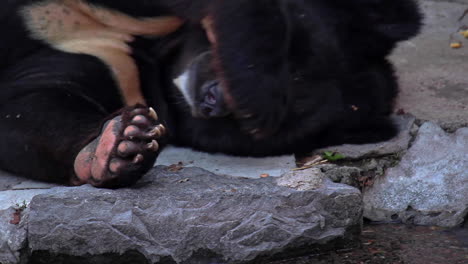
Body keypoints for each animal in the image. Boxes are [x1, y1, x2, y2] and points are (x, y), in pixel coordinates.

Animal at [0, 1, 422, 189]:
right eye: (291, 52)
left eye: (248, 126)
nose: (214, 98)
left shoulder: (119, 65)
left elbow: (28, 106)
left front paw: (119, 146)